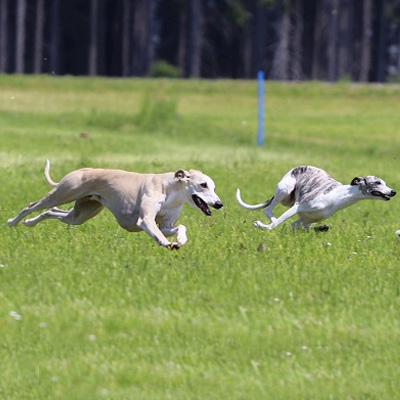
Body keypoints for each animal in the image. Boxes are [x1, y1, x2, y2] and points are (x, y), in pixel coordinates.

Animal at [7, 160, 223, 248]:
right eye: (203, 185)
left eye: (213, 186)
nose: (219, 204)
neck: (170, 189)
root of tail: (79, 170)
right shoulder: (145, 221)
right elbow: (157, 233)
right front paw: (166, 243)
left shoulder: (166, 224)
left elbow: (178, 227)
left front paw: (181, 239)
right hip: (63, 193)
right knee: (33, 205)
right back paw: (12, 222)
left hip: (80, 214)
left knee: (51, 212)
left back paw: (29, 223)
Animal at [236, 166, 396, 231]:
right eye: (378, 182)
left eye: (385, 182)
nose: (393, 191)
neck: (338, 197)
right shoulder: (298, 206)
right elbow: (276, 224)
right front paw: (264, 227)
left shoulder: (305, 219)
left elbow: (294, 226)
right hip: (285, 189)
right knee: (268, 210)